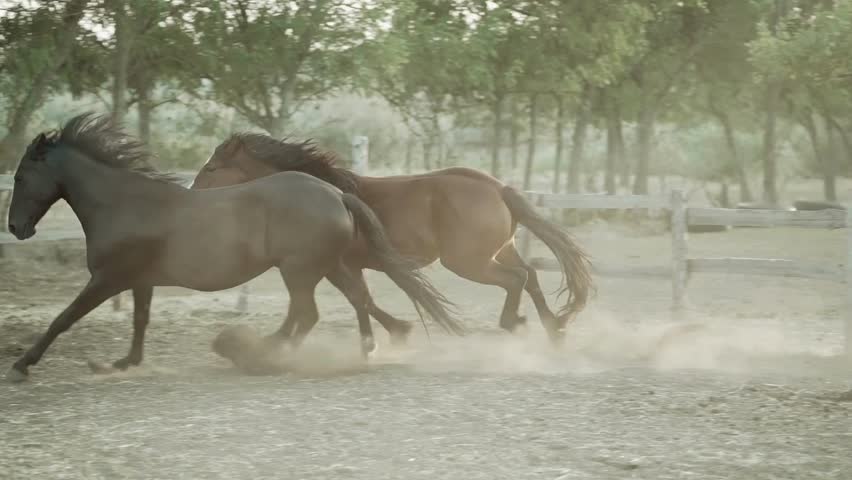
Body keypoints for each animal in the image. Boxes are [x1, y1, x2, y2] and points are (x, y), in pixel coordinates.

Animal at [4, 113, 463, 382]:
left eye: (21, 177)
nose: (16, 228)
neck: (123, 204)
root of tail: (336, 193)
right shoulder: (140, 280)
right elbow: (140, 321)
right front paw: (120, 363)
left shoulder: (108, 278)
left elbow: (63, 319)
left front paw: (21, 366)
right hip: (325, 265)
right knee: (352, 299)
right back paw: (362, 349)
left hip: (299, 269)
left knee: (309, 312)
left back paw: (263, 354)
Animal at [191, 133, 595, 343]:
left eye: (211, 168)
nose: (191, 195)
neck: (331, 193)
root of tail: (499, 188)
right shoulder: (350, 266)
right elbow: (363, 299)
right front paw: (385, 336)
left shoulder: (334, 265)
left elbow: (360, 299)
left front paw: (394, 334)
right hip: (500, 251)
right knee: (531, 275)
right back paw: (554, 327)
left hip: (470, 262)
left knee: (518, 279)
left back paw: (516, 323)